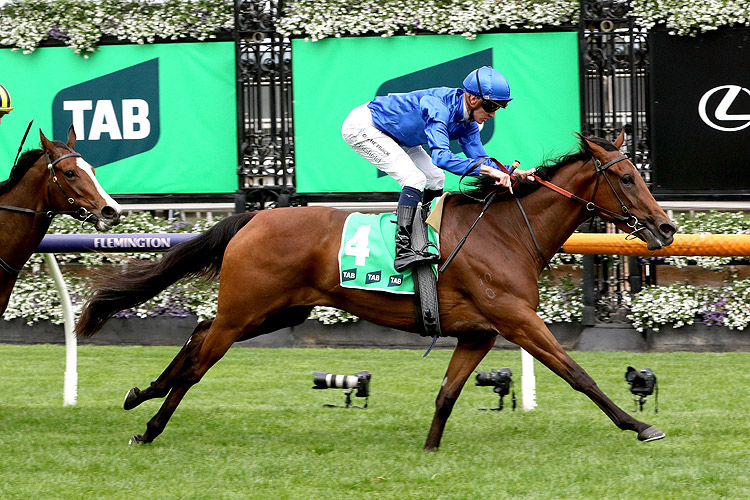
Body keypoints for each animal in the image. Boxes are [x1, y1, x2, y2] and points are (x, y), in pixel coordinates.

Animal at [78, 131, 680, 448]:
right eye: (625, 177)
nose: (666, 226)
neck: (506, 231)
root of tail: (255, 216)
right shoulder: (516, 319)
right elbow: (577, 373)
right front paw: (640, 425)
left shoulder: (478, 335)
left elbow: (447, 392)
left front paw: (430, 449)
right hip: (248, 309)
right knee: (201, 361)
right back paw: (151, 426)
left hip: (277, 311)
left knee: (200, 331)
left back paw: (142, 393)